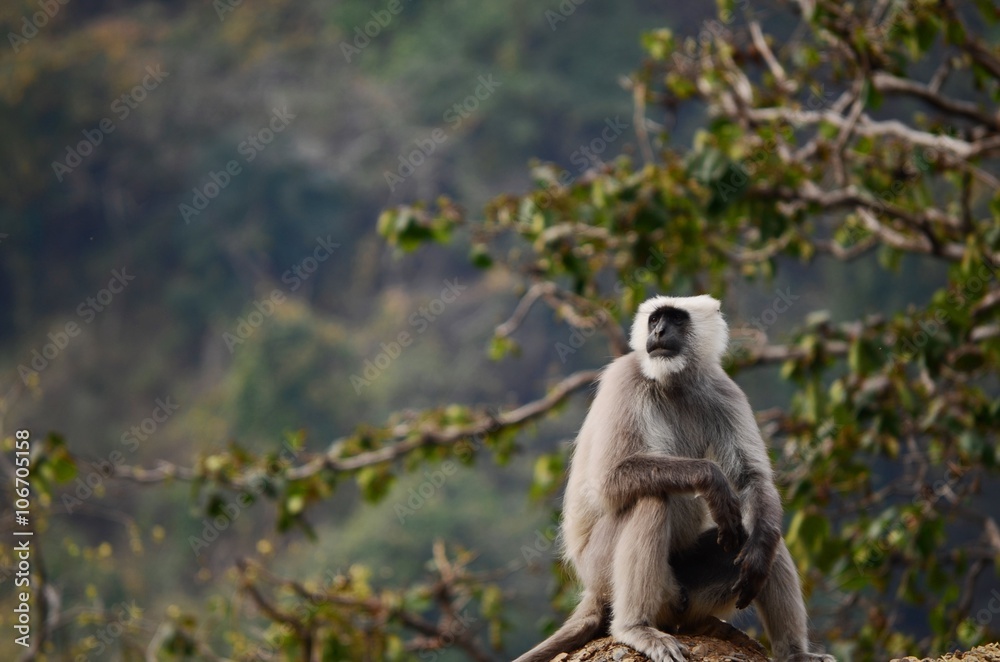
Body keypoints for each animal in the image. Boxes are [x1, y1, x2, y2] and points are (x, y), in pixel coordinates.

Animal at [514, 294, 834, 662]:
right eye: (655, 320)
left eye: (676, 319)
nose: (658, 332)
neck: (672, 383)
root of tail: (593, 590)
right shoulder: (625, 377)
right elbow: (608, 479)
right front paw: (713, 482)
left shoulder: (721, 387)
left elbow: (752, 479)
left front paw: (757, 545)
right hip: (602, 567)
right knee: (651, 498)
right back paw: (634, 628)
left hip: (690, 591)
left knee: (766, 537)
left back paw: (793, 651)